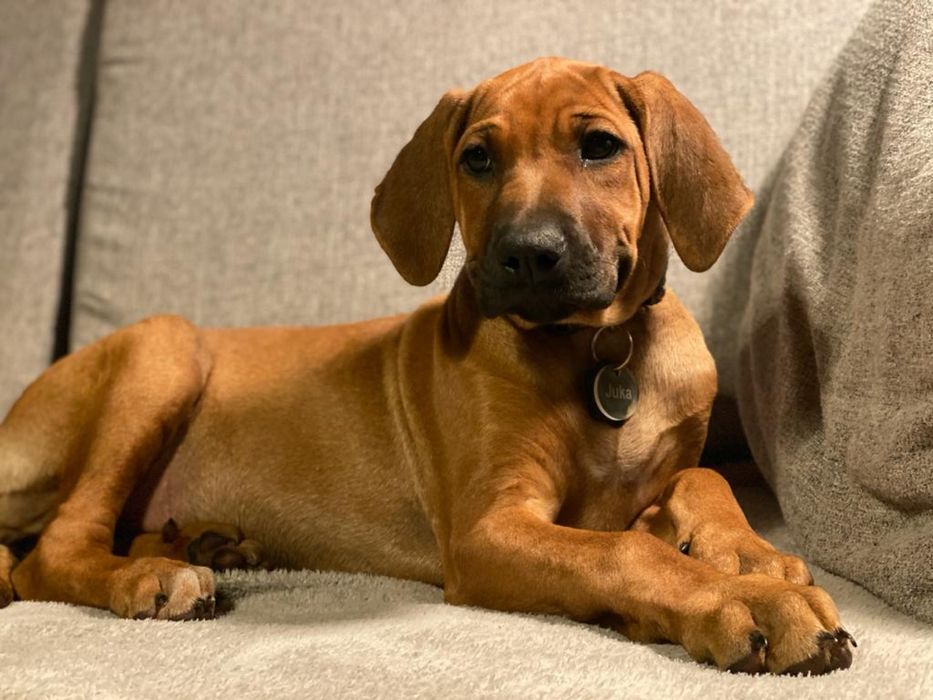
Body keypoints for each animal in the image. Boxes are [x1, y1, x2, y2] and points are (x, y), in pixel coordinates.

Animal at [0, 58, 852, 672]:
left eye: (600, 146)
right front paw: (734, 602)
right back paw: (150, 577)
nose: (527, 254)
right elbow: (622, 549)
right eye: (476, 159)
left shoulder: (655, 469)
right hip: (165, 344)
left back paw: (199, 543)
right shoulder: (487, 531)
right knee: (51, 554)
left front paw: (747, 555)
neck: (595, 348)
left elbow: (702, 477)